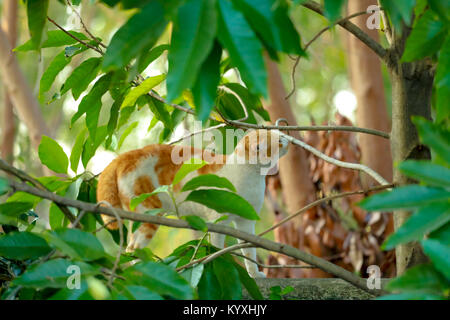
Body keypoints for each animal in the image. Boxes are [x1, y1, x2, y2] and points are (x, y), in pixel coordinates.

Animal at [96, 129, 290, 278]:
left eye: (281, 135)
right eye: (279, 140)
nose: (286, 138)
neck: (251, 173)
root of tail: (124, 157)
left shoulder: (246, 222)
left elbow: (249, 252)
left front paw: (254, 274)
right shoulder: (218, 222)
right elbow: (216, 247)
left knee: (130, 246)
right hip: (148, 215)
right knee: (133, 247)